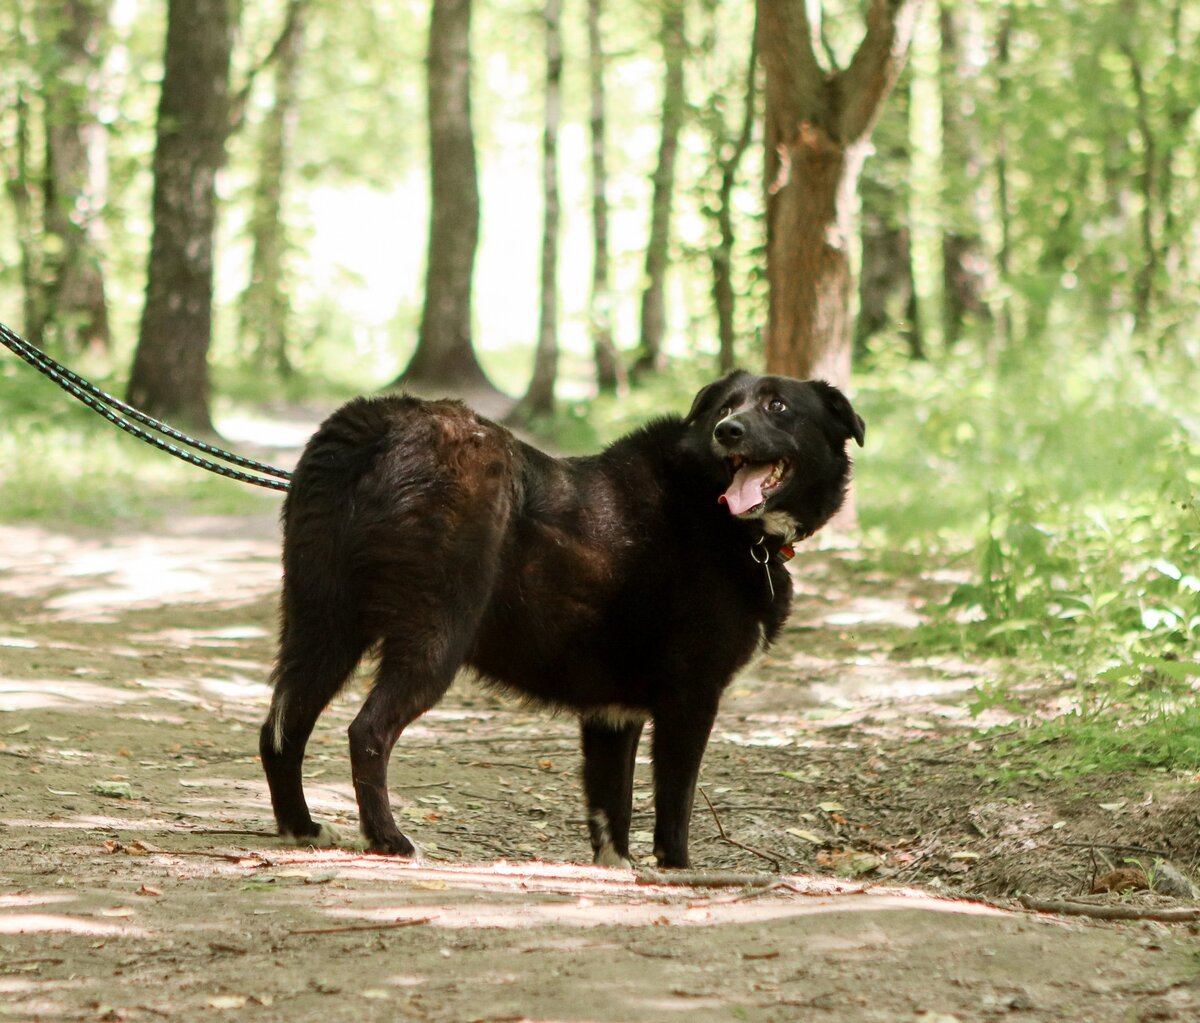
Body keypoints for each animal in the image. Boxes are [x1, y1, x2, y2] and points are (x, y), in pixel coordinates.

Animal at [262, 372, 864, 869]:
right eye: (725, 406)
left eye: (779, 406)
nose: (728, 431)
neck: (719, 515)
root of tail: (377, 424)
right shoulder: (691, 697)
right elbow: (674, 805)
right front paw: (678, 873)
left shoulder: (612, 714)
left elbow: (610, 809)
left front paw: (617, 872)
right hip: (433, 635)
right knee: (367, 731)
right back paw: (388, 839)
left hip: (322, 626)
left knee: (280, 728)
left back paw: (300, 826)